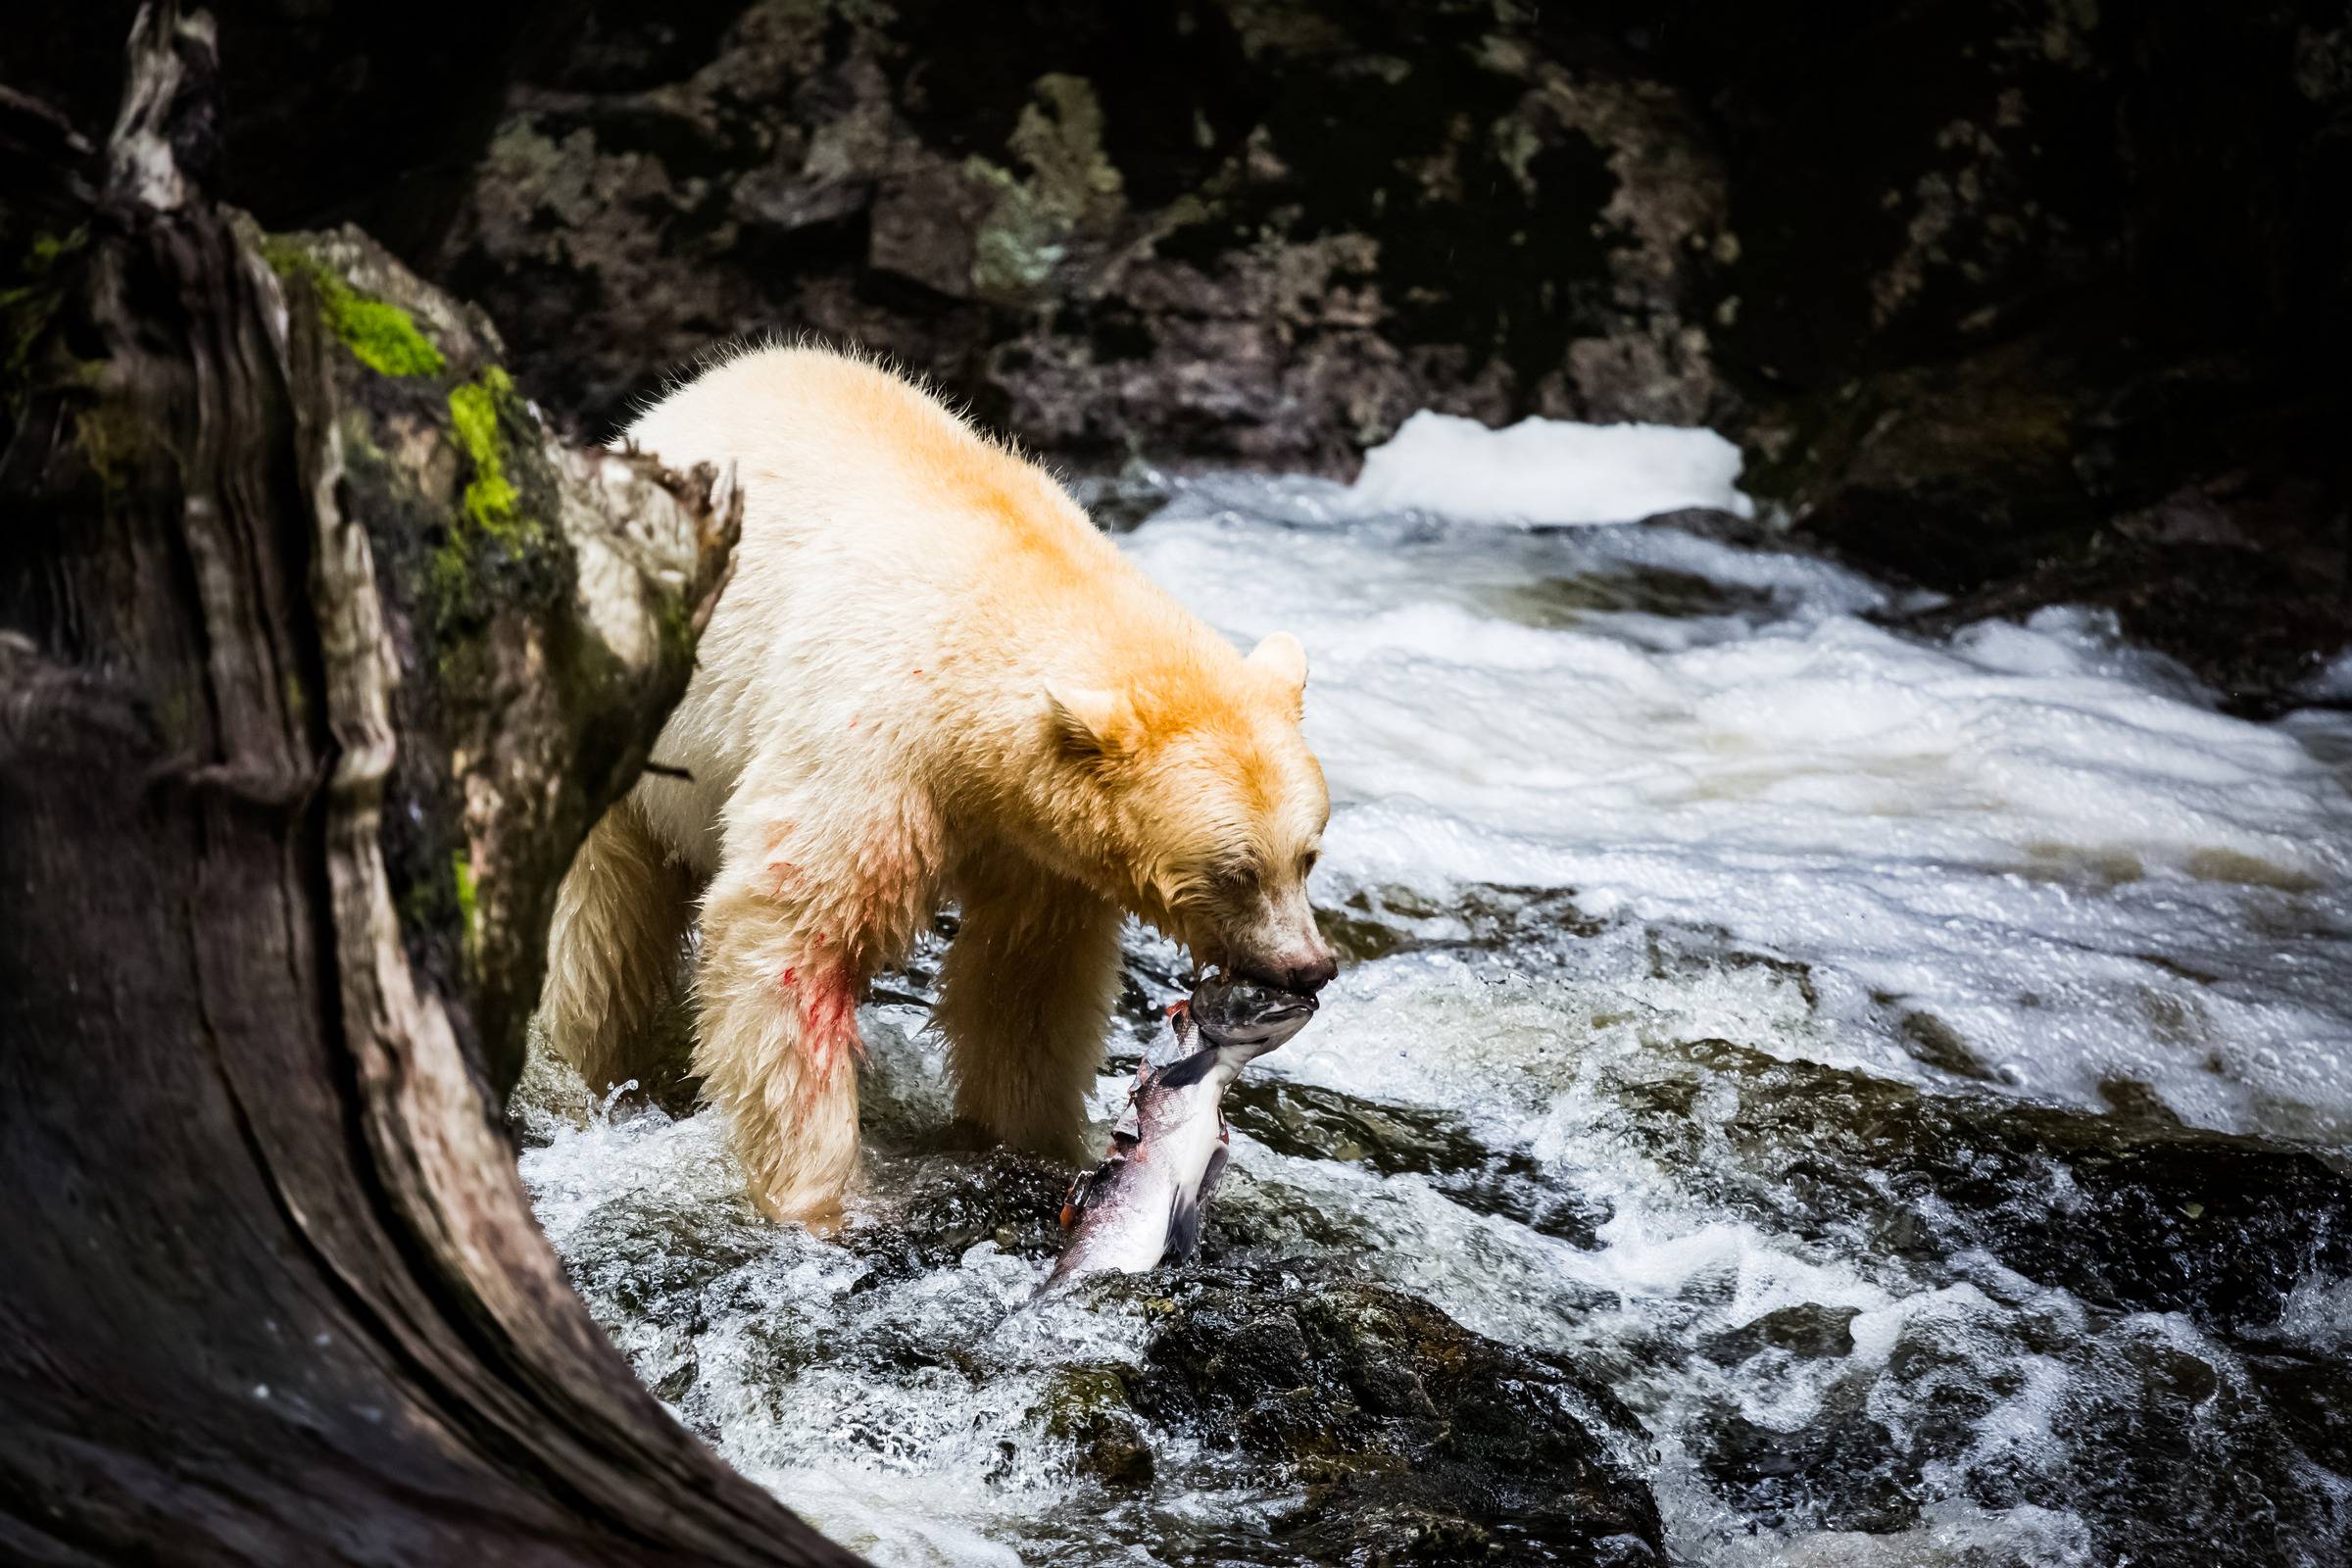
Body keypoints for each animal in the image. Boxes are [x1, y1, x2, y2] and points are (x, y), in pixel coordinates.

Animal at [539, 344, 1337, 1225]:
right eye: (1236, 872)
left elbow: (1027, 982)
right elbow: (790, 935)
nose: (1311, 967)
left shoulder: (1040, 840)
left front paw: (1035, 1140)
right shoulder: (872, 742)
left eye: (1307, 856)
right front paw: (821, 1200)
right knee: (602, 921)